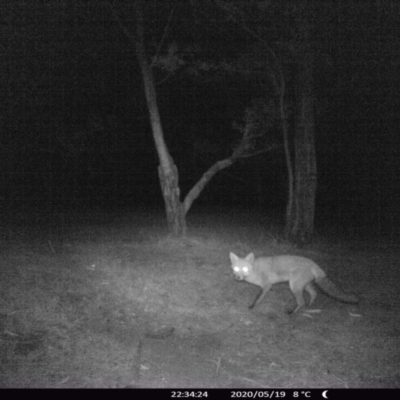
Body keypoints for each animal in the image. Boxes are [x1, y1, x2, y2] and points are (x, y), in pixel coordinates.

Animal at [230, 253, 358, 312]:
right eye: (236, 268)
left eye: (244, 269)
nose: (238, 277)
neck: (255, 270)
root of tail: (313, 263)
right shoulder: (267, 286)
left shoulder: (267, 285)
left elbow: (258, 298)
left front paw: (253, 306)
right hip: (303, 285)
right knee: (314, 293)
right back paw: (309, 305)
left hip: (295, 286)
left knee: (301, 301)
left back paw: (292, 312)